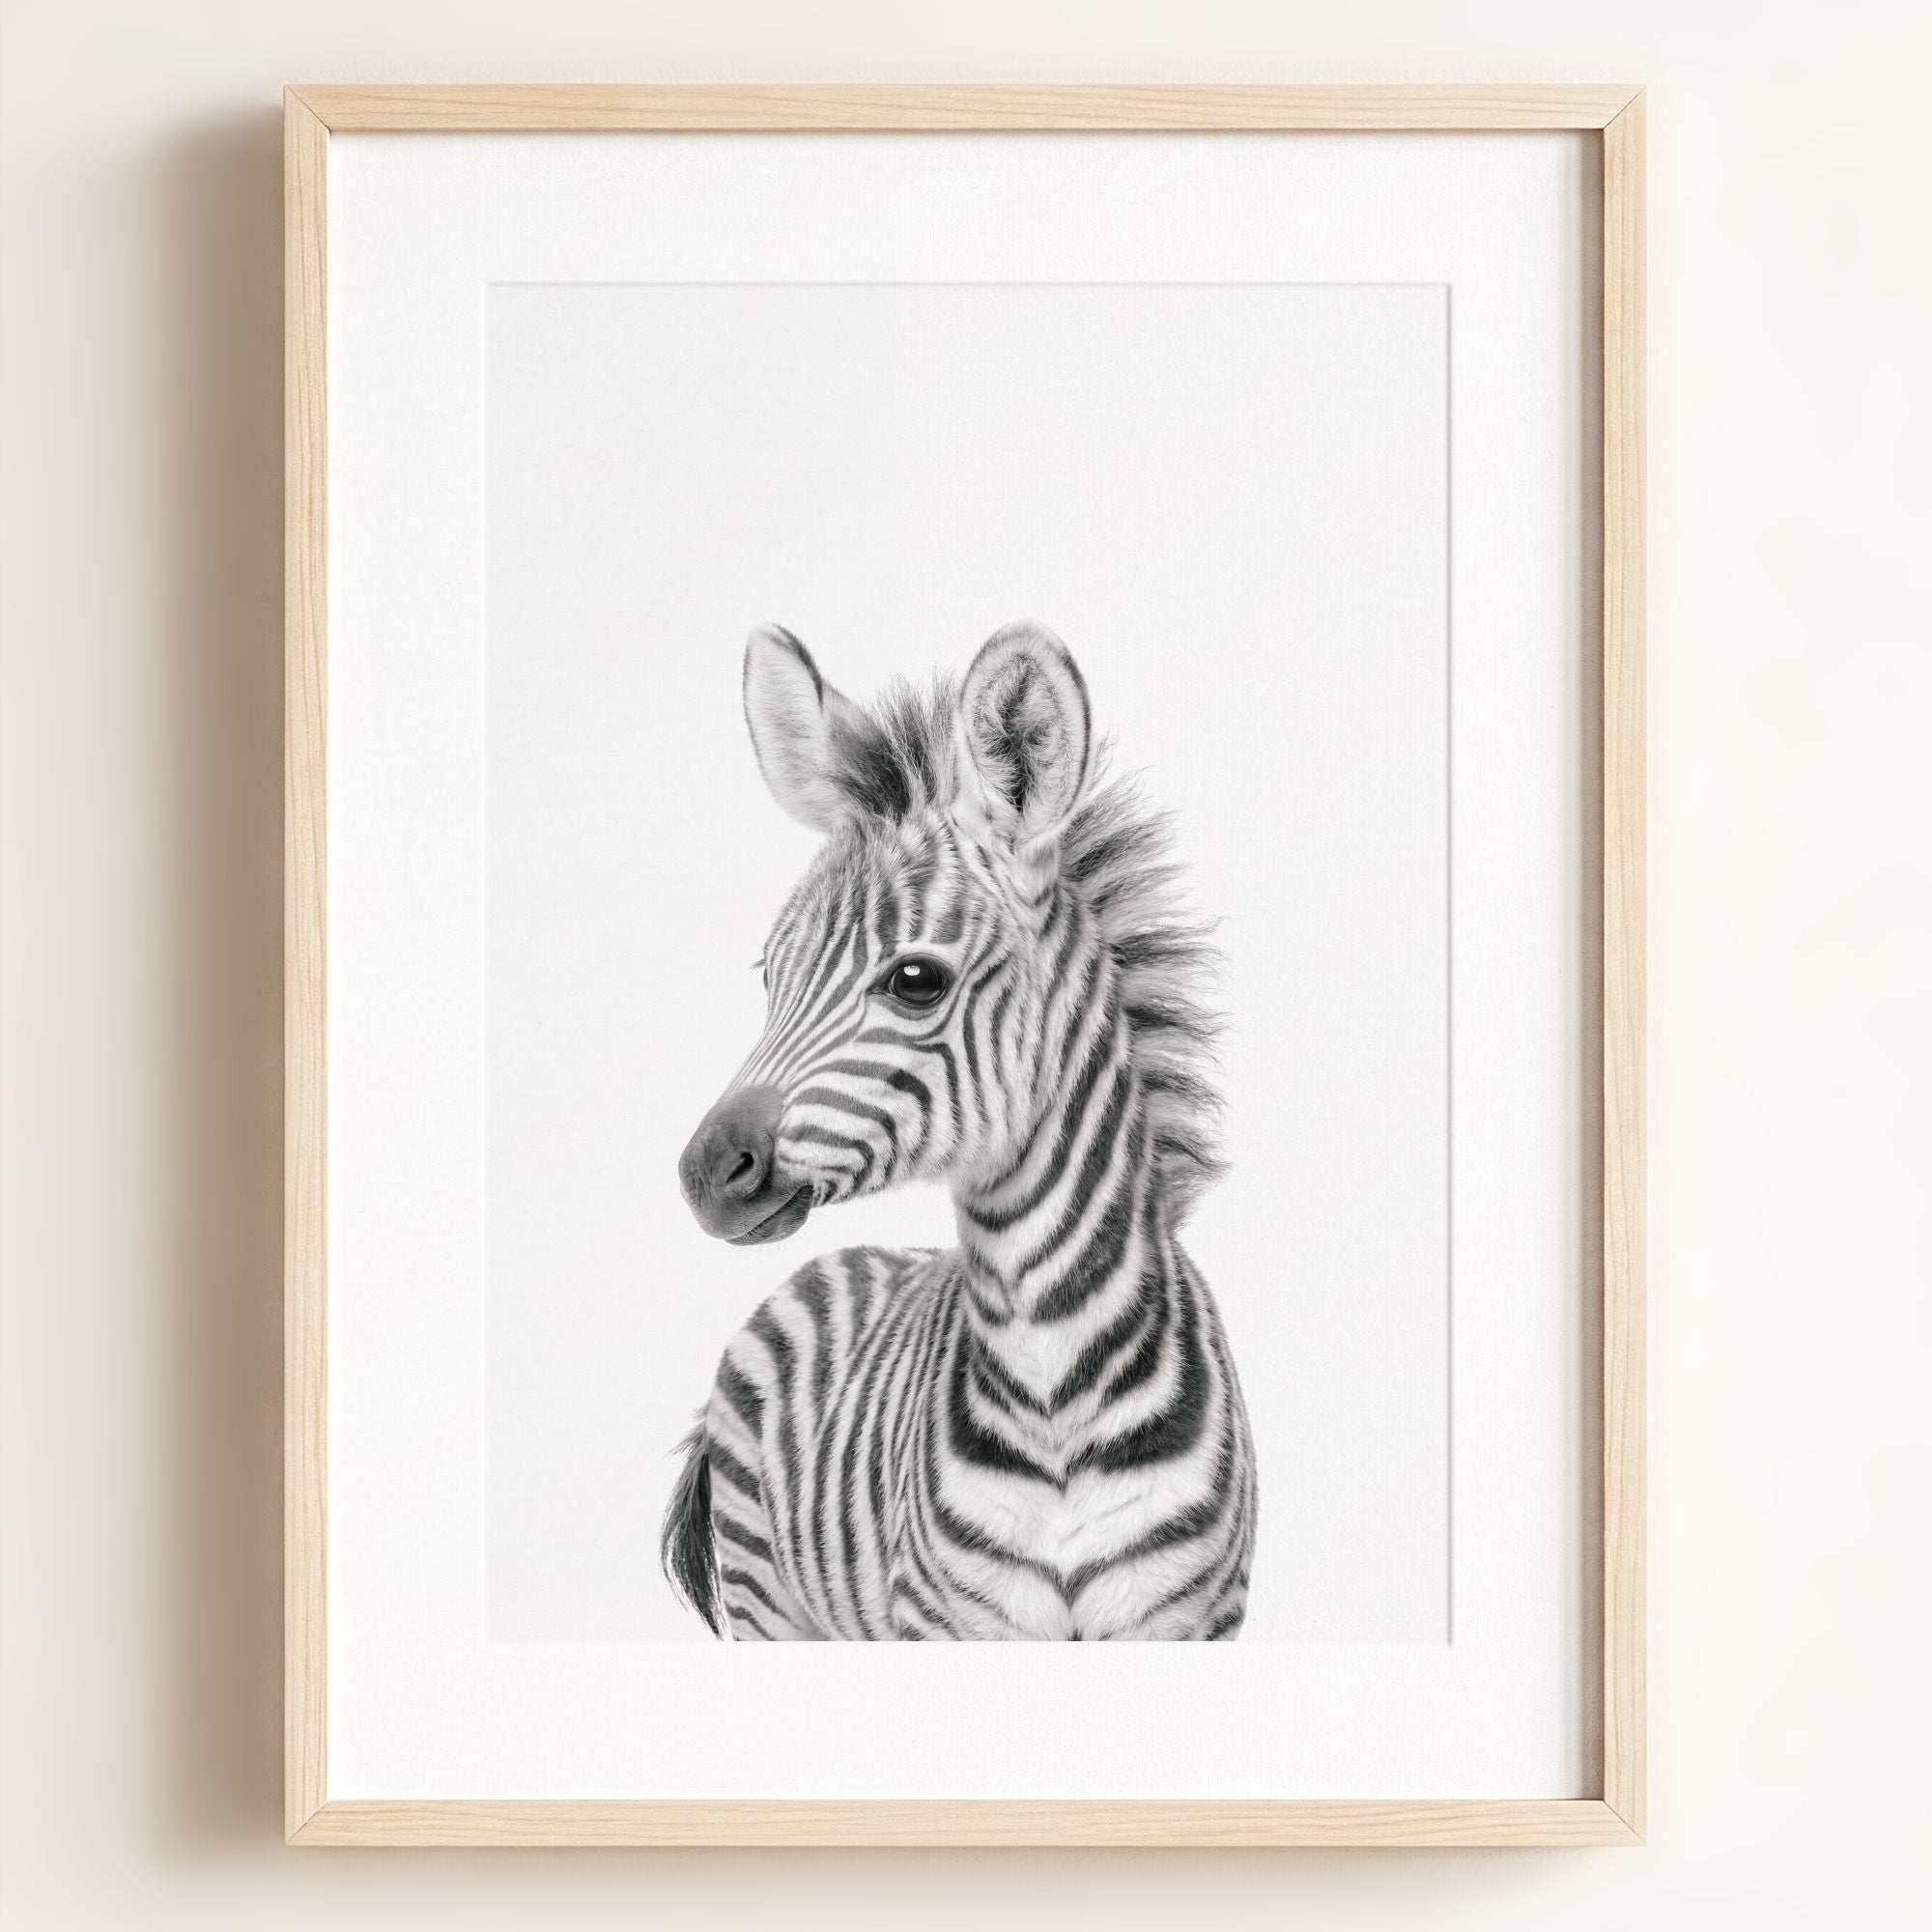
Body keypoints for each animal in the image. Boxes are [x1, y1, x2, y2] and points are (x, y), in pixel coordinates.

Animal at [661, 619, 1256, 1640]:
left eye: (916, 981)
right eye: (770, 974)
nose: (705, 1173)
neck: (1054, 1383)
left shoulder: (1188, 1621)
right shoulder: (950, 1624)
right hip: (768, 1601)